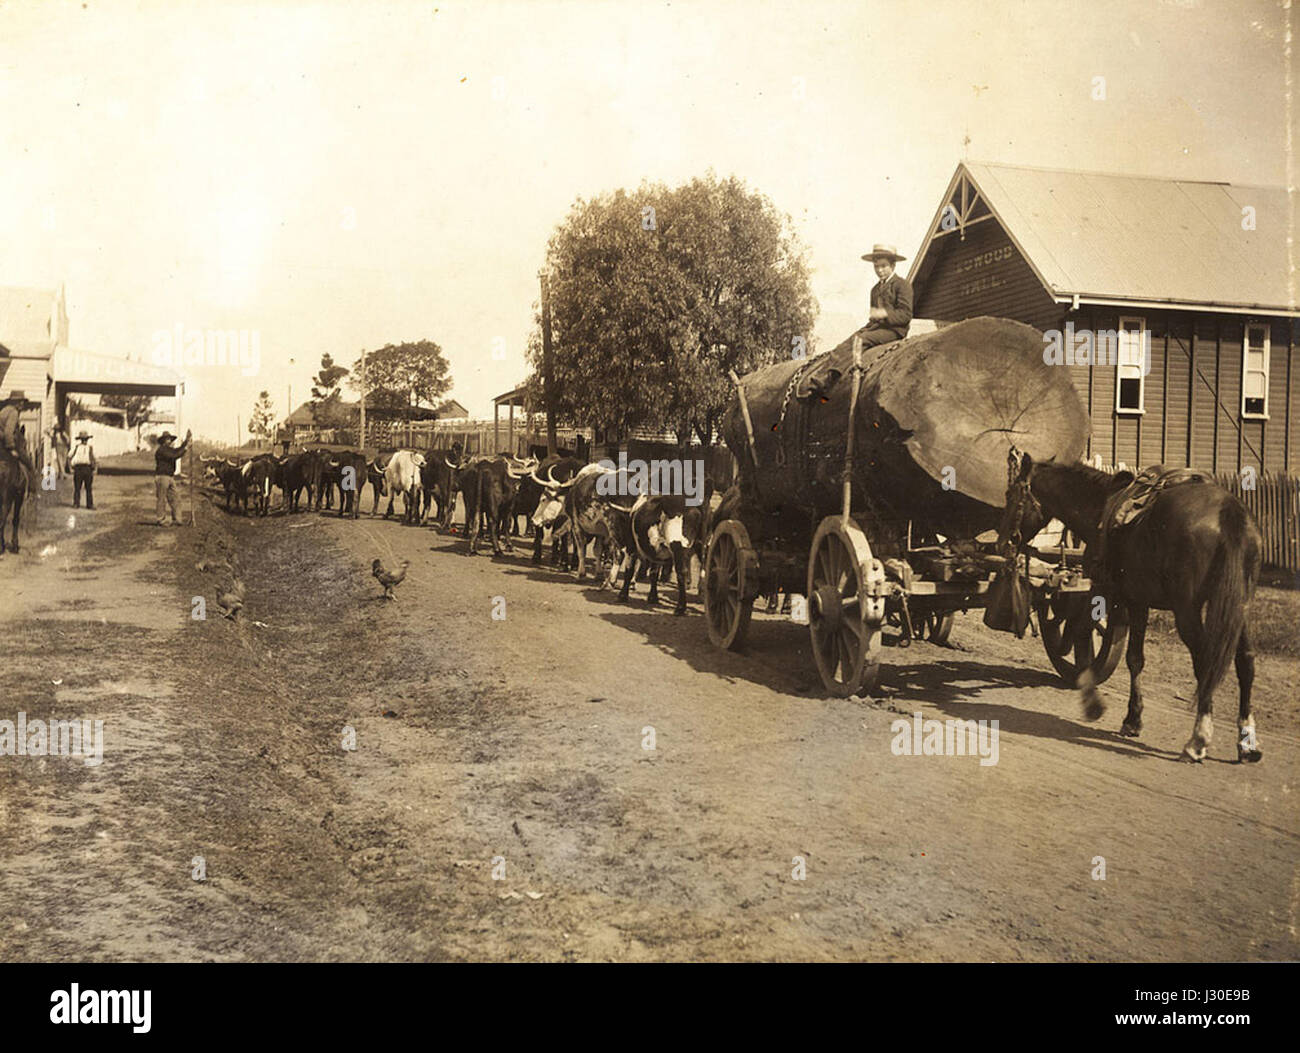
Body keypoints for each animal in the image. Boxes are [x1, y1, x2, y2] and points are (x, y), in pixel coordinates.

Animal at [1003, 454, 1258, 759]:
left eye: (1010, 495)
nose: (1003, 540)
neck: (1101, 507)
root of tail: (1228, 511)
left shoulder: (1112, 594)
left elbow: (1089, 636)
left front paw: (1098, 704)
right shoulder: (1136, 601)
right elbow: (1134, 658)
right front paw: (1131, 717)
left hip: (1187, 611)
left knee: (1206, 661)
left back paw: (1199, 738)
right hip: (1239, 607)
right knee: (1246, 660)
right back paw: (1247, 741)